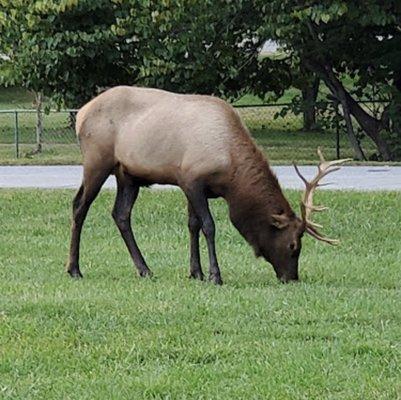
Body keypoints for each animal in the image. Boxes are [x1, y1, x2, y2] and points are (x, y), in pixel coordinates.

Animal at [67, 86, 348, 284]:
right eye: (293, 246)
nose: (291, 278)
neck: (231, 174)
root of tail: (81, 114)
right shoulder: (192, 180)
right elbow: (209, 226)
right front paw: (215, 275)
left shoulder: (190, 185)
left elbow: (192, 225)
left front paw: (196, 272)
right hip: (97, 161)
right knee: (79, 206)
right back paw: (74, 269)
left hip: (128, 175)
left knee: (121, 214)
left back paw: (144, 269)